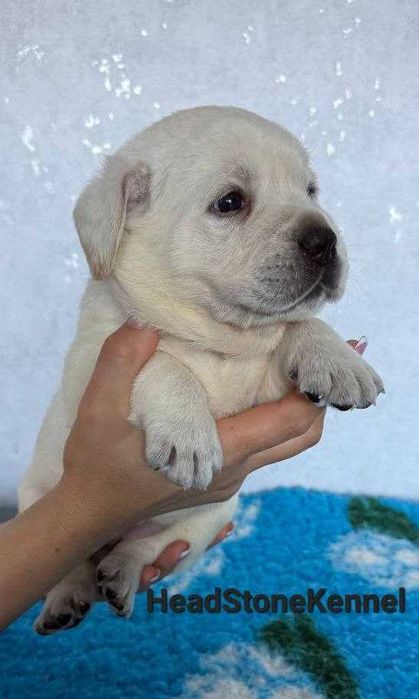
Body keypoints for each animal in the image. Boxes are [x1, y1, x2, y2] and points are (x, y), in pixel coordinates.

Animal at [19, 106, 384, 633]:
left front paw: (337, 358)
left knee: (145, 547)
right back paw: (66, 598)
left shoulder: (263, 383)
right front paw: (188, 436)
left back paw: (120, 574)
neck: (216, 338)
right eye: (230, 202)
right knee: (72, 561)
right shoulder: (92, 360)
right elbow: (165, 364)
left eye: (311, 190)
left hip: (208, 519)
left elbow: (298, 324)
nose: (325, 239)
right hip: (40, 496)